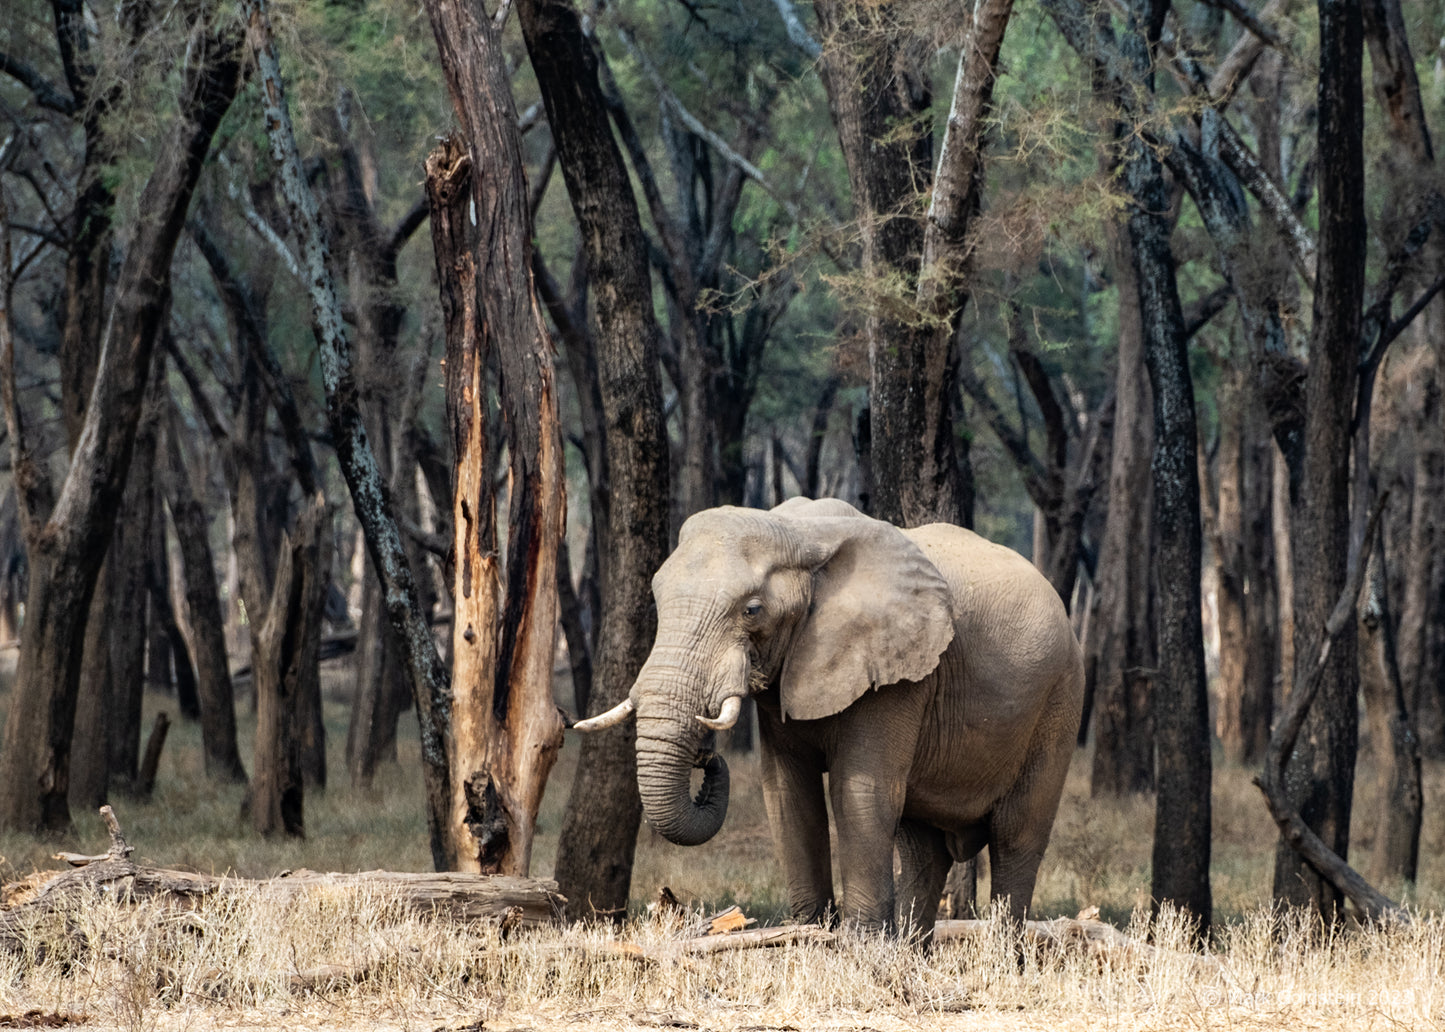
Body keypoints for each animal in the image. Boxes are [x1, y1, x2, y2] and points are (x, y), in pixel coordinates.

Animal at [575, 497, 1086, 930]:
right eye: (657, 602)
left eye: (752, 610)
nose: (706, 755)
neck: (799, 532)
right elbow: (788, 792)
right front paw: (810, 934)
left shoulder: (897, 675)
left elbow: (860, 791)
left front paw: (859, 949)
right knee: (922, 846)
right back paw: (911, 952)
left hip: (1059, 699)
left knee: (1015, 835)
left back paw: (1004, 951)